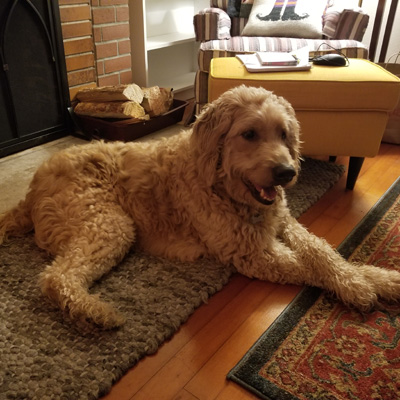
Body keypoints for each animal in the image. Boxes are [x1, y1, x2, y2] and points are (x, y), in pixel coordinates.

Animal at [0, 85, 400, 328]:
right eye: (249, 134)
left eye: (284, 133)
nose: (287, 172)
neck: (221, 185)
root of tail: (31, 188)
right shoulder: (253, 255)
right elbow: (305, 265)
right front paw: (360, 287)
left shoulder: (283, 222)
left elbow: (322, 252)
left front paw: (374, 278)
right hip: (108, 224)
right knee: (56, 278)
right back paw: (95, 312)